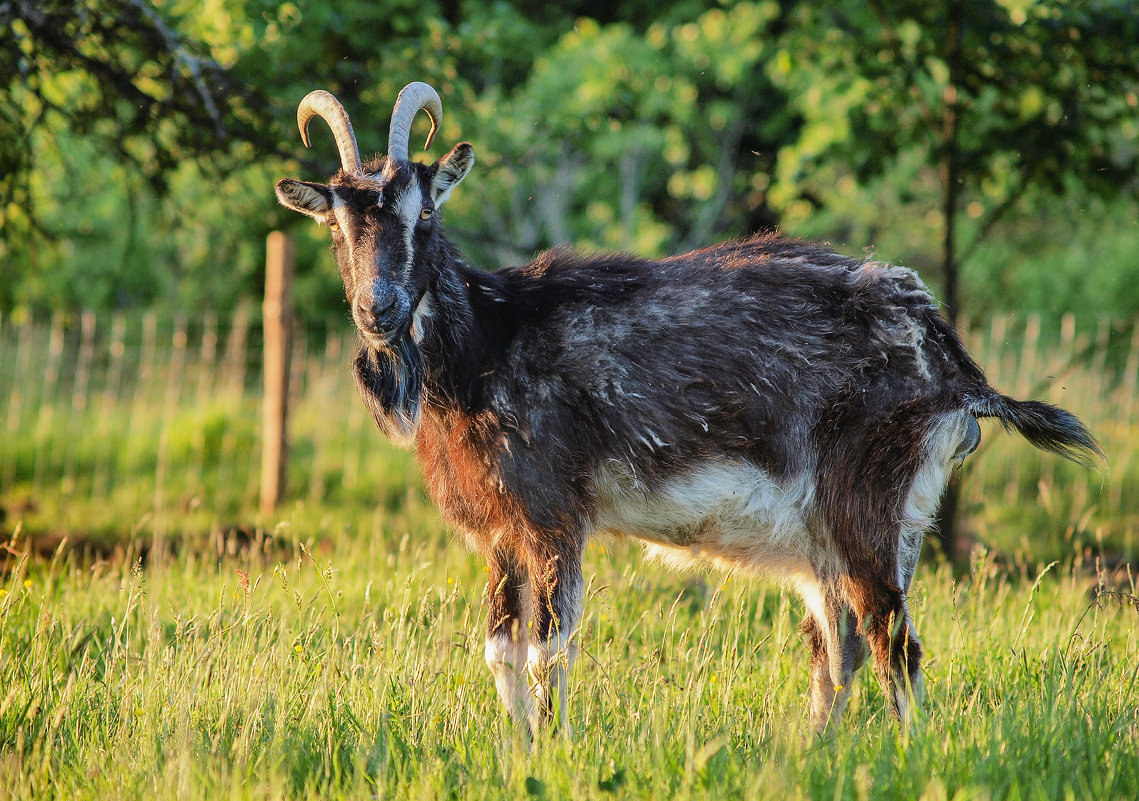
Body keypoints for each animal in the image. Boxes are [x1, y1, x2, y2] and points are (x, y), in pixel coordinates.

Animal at [271, 83, 1097, 738]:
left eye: (422, 216)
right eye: (335, 223)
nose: (377, 310)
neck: (486, 344)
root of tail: (946, 352)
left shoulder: (553, 516)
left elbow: (546, 648)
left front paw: (552, 748)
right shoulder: (499, 532)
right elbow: (500, 651)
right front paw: (517, 750)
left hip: (869, 496)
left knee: (890, 635)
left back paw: (904, 752)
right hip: (831, 532)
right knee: (841, 643)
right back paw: (810, 751)